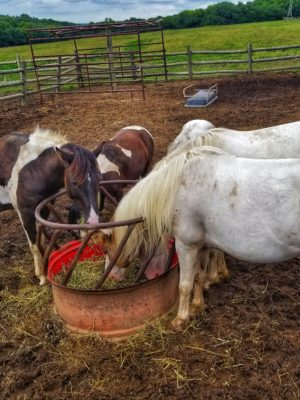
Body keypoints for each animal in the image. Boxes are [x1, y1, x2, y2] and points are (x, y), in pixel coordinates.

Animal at [0, 128, 101, 284]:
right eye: (74, 181)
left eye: (99, 178)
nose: (94, 221)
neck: (34, 169)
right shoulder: (25, 212)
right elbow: (34, 244)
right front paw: (41, 276)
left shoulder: (44, 208)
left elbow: (39, 239)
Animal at [98, 147, 300, 332]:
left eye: (106, 250)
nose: (113, 277)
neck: (177, 186)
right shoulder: (202, 245)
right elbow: (200, 276)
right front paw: (196, 306)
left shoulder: (186, 245)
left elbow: (185, 284)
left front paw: (181, 319)